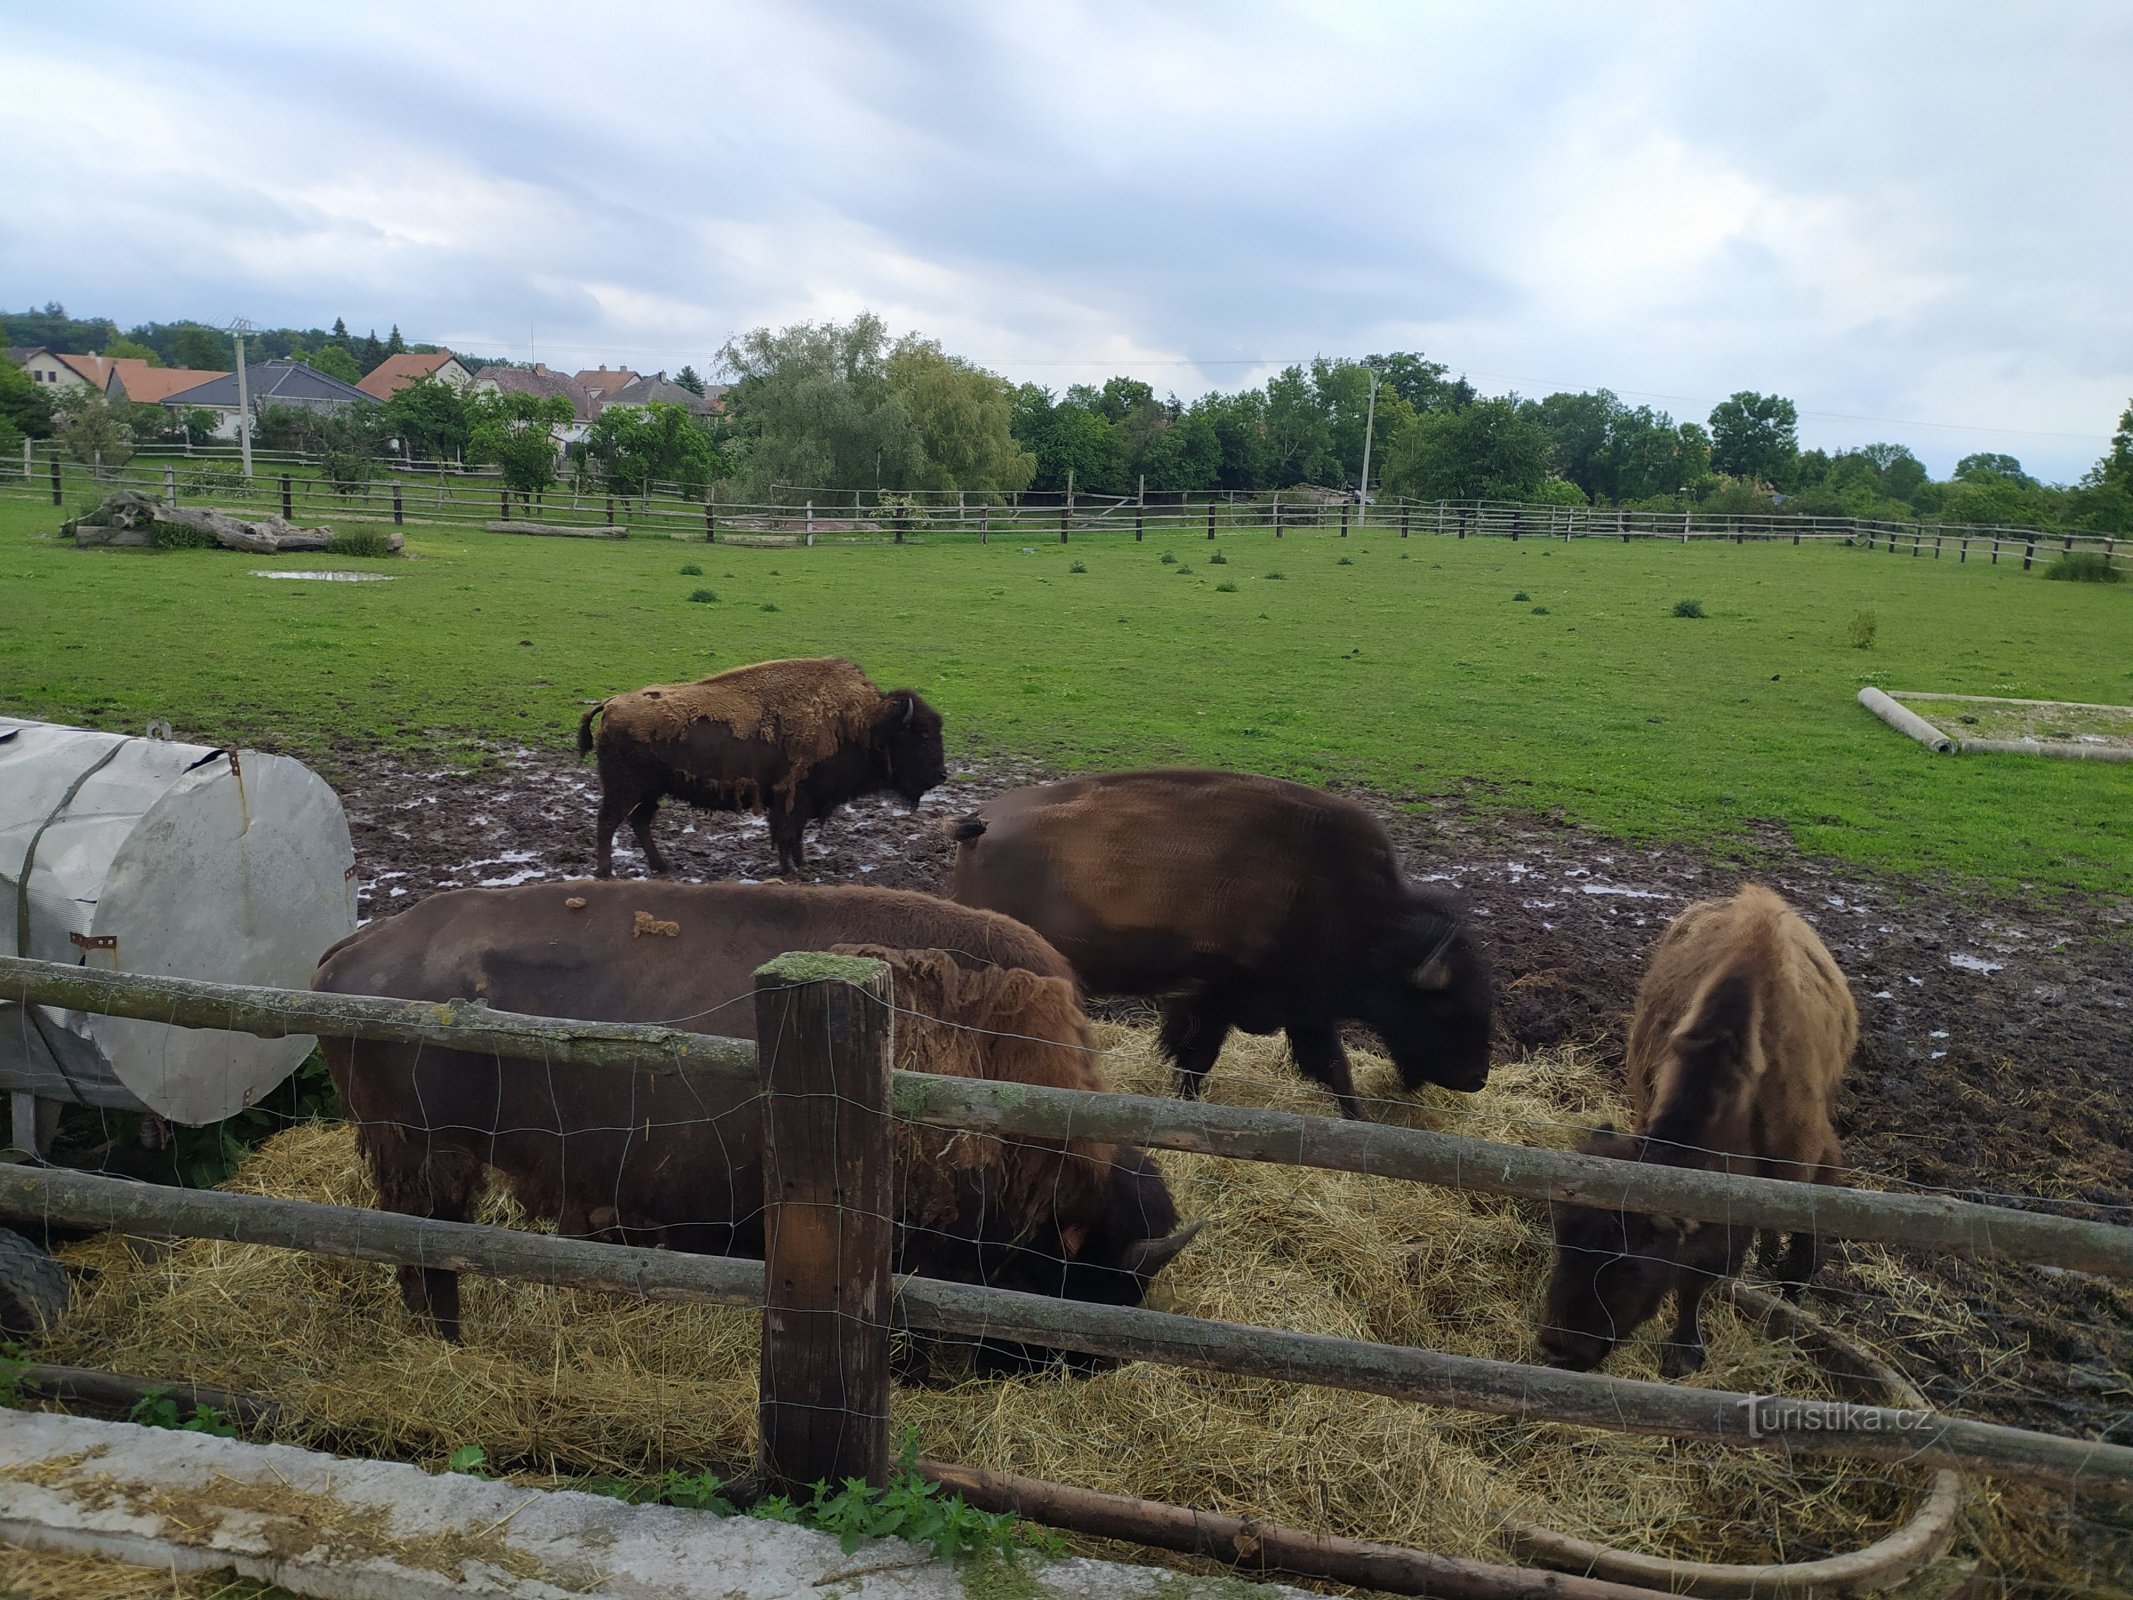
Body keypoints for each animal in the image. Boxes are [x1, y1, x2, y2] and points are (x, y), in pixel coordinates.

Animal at [311, 878, 1203, 1382]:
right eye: (1094, 1279)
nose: (1085, 1370)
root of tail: (354, 948)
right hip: (428, 1160)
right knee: (427, 1258)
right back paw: (449, 1347)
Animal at [584, 652, 951, 878]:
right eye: (920, 736)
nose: (941, 774)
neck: (863, 724)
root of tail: (611, 704)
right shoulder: (792, 797)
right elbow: (786, 833)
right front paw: (789, 869)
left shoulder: (799, 800)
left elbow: (796, 834)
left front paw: (802, 864)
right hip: (626, 789)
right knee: (608, 822)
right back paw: (605, 871)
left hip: (650, 791)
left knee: (639, 822)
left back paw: (662, 866)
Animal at [942, 772, 1493, 1117]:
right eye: (1444, 1007)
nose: (1476, 1079)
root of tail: (979, 825)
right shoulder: (1209, 1000)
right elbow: (1195, 1061)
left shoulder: (1305, 1011)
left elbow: (1335, 1069)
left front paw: (1358, 1122)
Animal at [1544, 883, 1859, 1382]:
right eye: (1563, 1242)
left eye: (1630, 1262)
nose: (1558, 1350)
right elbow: (1698, 1274)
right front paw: (1685, 1349)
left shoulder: (1810, 1157)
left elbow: (1799, 1248)